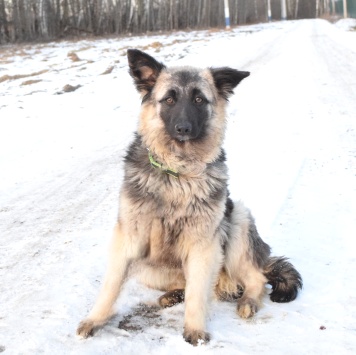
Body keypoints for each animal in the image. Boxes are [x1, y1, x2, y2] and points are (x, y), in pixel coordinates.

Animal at [76, 48, 302, 346]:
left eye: (198, 99)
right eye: (169, 99)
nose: (183, 128)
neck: (177, 172)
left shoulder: (203, 244)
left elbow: (197, 293)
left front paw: (194, 329)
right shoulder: (128, 239)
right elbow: (111, 284)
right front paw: (95, 319)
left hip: (236, 222)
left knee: (254, 277)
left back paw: (248, 301)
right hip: (148, 267)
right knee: (185, 283)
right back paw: (173, 295)